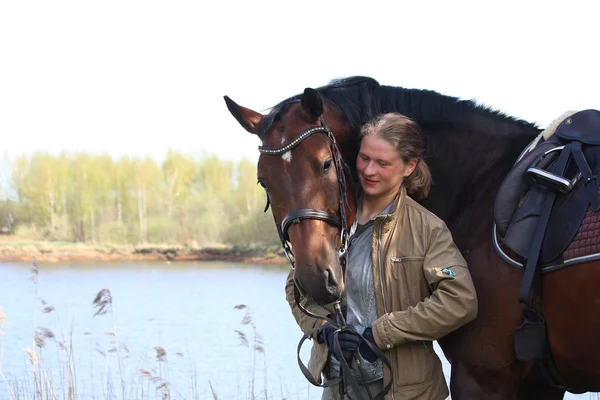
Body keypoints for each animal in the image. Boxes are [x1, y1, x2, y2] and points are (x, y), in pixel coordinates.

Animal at [224, 76, 600, 398]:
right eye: (263, 180)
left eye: (325, 164)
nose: (315, 278)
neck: (483, 190)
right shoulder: (539, 384)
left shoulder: (484, 377)